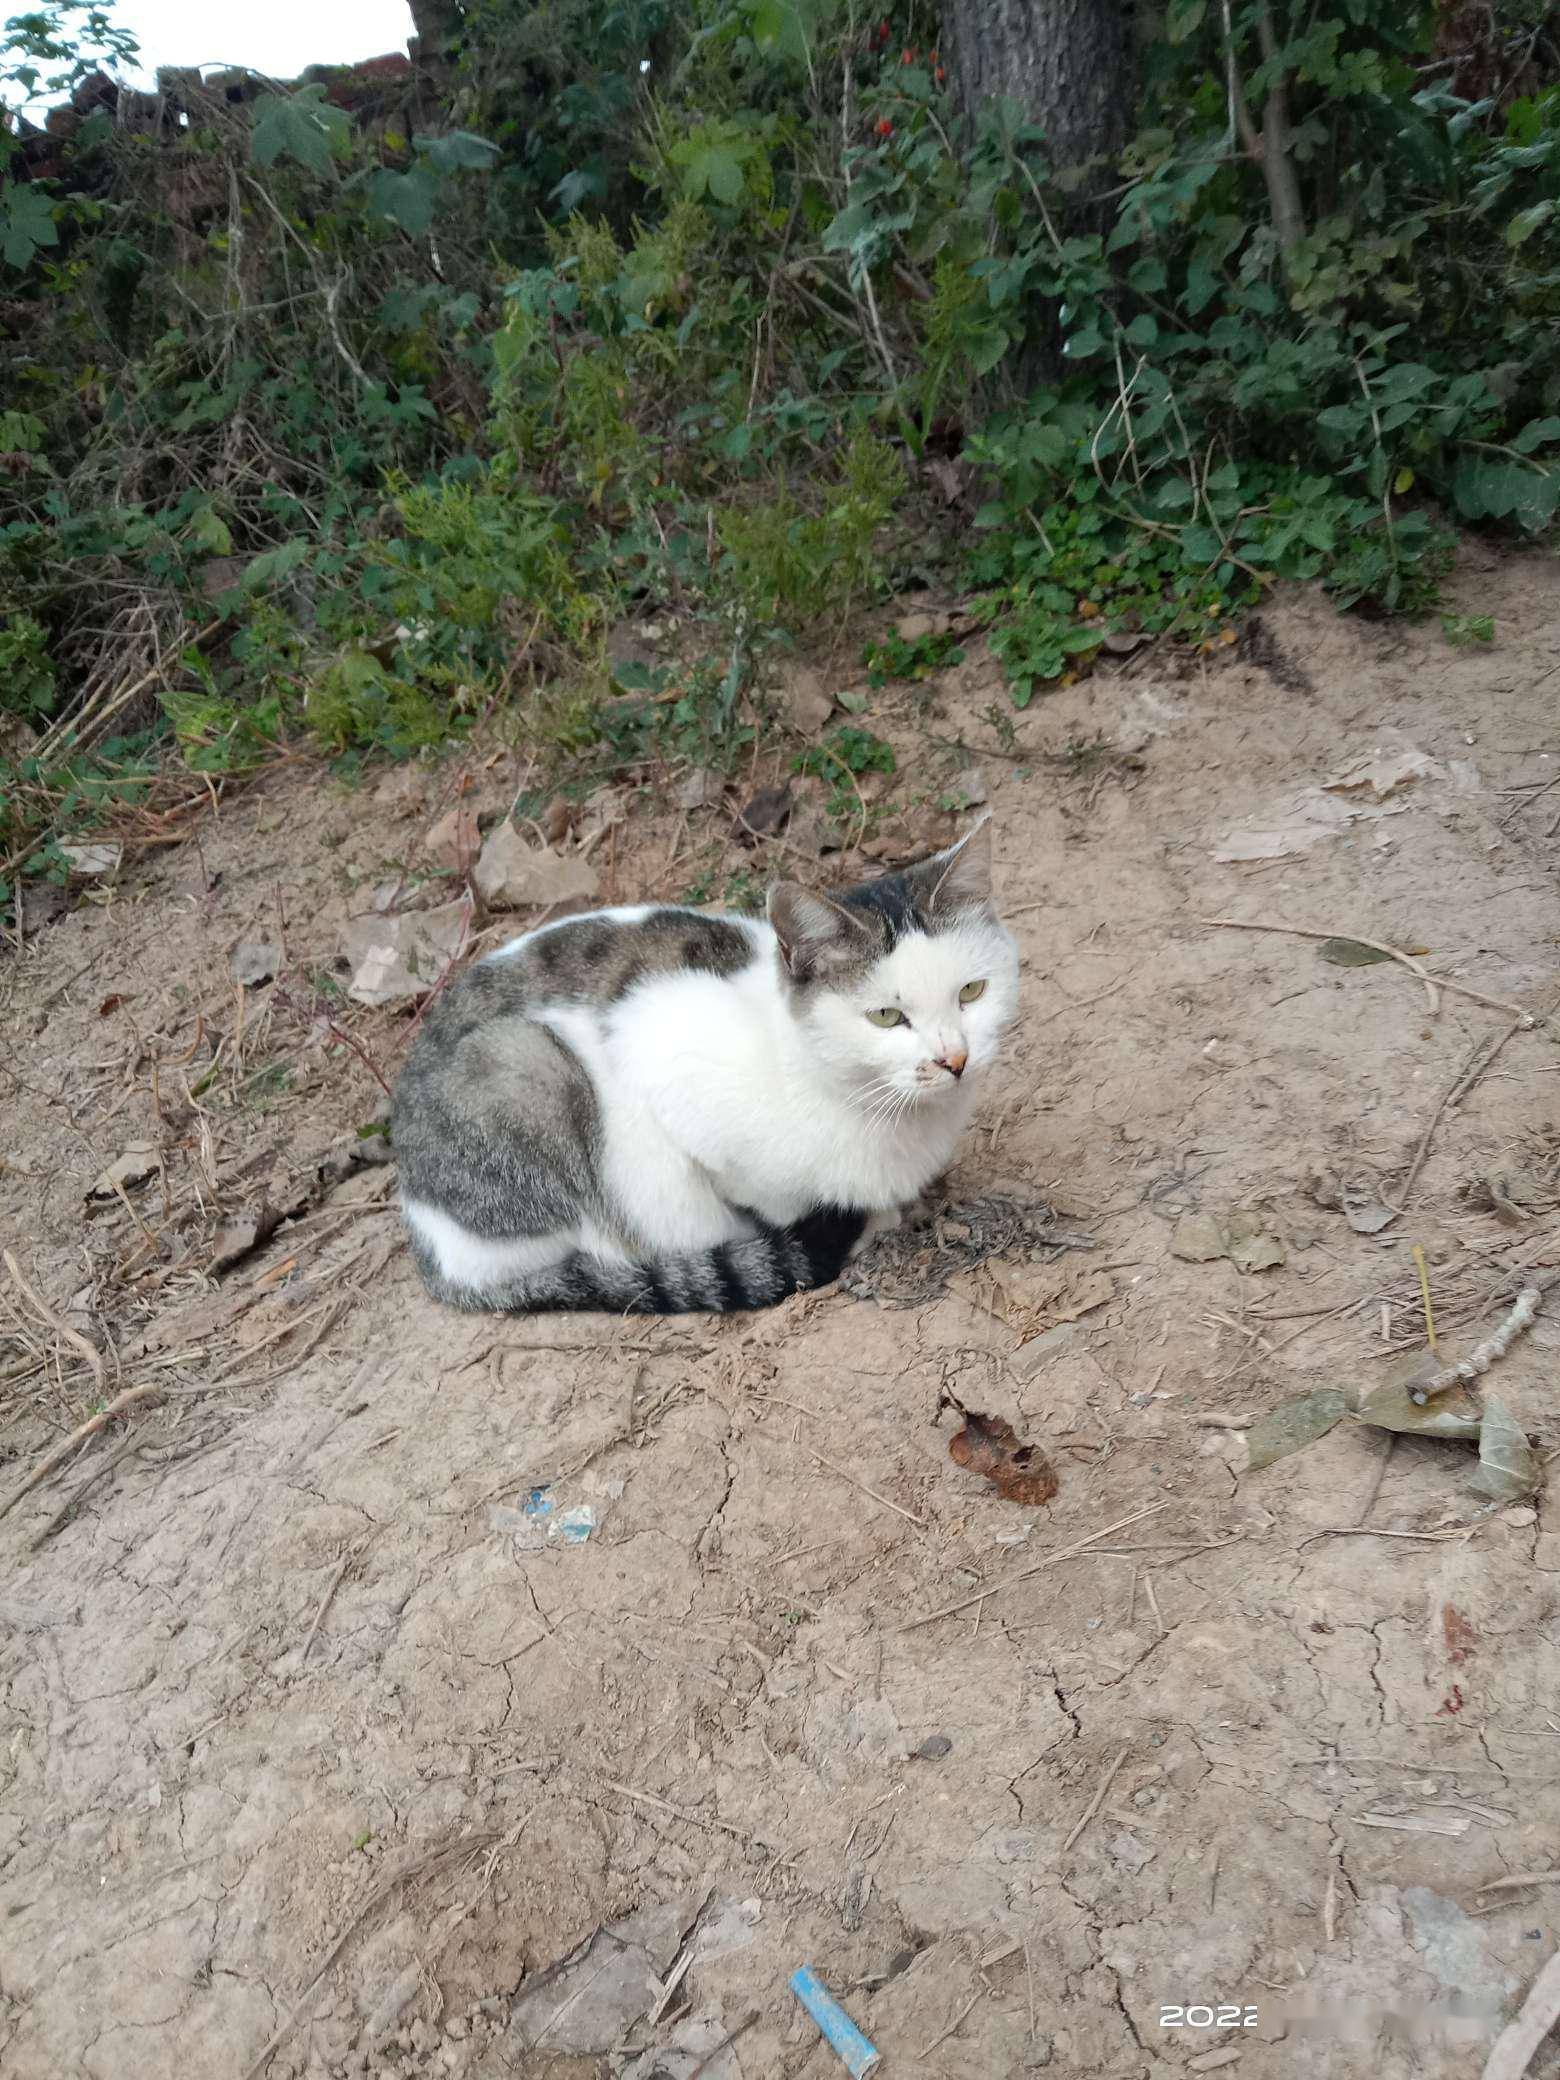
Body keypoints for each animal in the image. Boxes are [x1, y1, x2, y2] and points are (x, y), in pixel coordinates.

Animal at [397, 815, 1019, 1314]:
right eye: (887, 1016)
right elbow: (768, 1203)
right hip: (528, 1068)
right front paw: (857, 1223)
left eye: (972, 992)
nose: (954, 1059)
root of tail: (430, 1252)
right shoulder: (664, 1062)